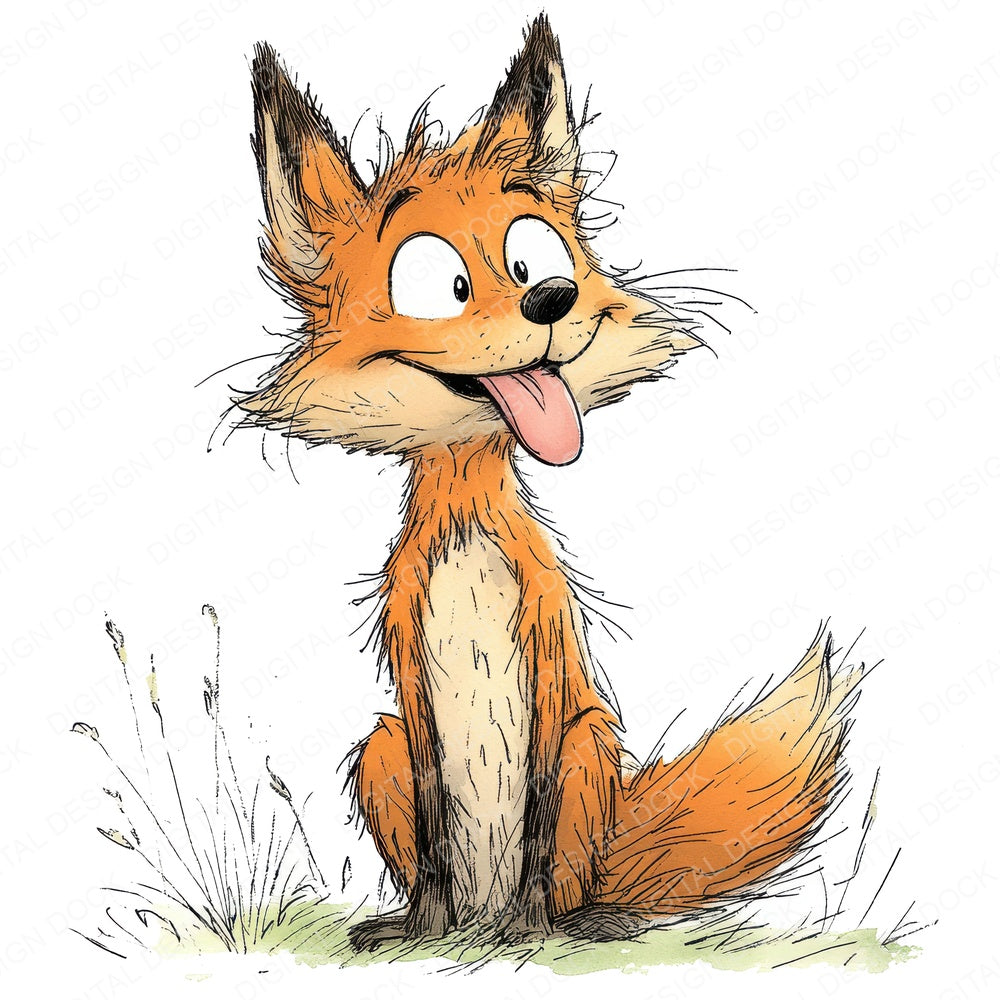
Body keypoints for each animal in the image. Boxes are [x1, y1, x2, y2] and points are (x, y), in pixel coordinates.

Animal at [234, 17, 861, 947]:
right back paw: (434, 924)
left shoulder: (546, 646)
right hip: (379, 745)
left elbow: (532, 810)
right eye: (440, 282)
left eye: (533, 258)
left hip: (590, 748)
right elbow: (431, 817)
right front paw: (425, 927)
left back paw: (564, 923)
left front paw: (531, 931)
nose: (554, 298)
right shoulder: (408, 666)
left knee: (572, 876)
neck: (467, 540)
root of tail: (482, 905)